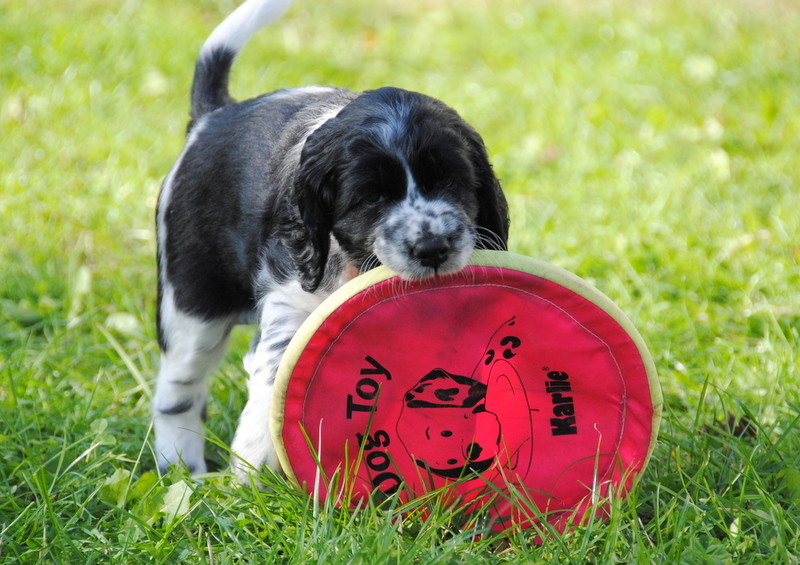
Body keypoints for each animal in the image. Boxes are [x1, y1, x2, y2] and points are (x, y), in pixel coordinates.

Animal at [153, 0, 510, 480]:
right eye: (371, 197)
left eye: (450, 182)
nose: (433, 249)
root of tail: (213, 115)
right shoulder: (289, 300)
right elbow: (273, 381)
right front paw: (253, 473)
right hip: (192, 300)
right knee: (178, 387)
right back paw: (181, 468)